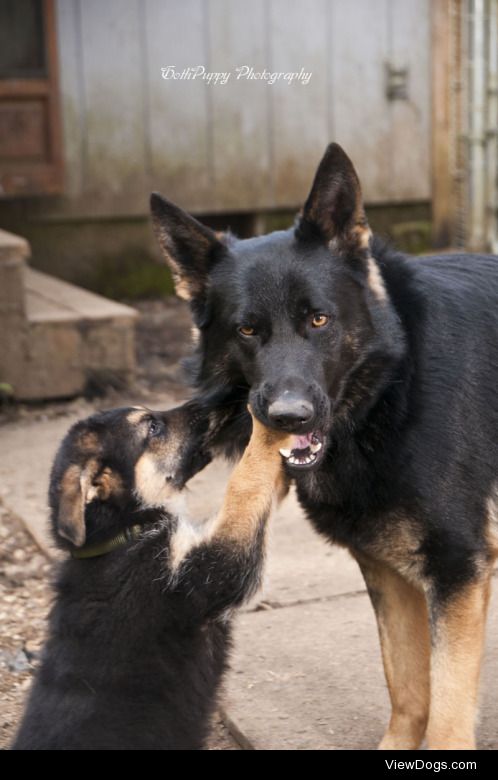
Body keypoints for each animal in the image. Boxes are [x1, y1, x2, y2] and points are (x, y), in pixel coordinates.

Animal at [12, 402, 292, 748]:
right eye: (152, 427)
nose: (206, 406)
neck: (120, 535)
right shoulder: (208, 569)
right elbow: (245, 483)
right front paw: (266, 427)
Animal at [150, 145, 498, 748]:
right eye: (247, 330)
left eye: (319, 319)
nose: (290, 416)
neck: (394, 384)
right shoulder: (387, 570)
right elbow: (408, 687)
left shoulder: (458, 572)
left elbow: (448, 709)